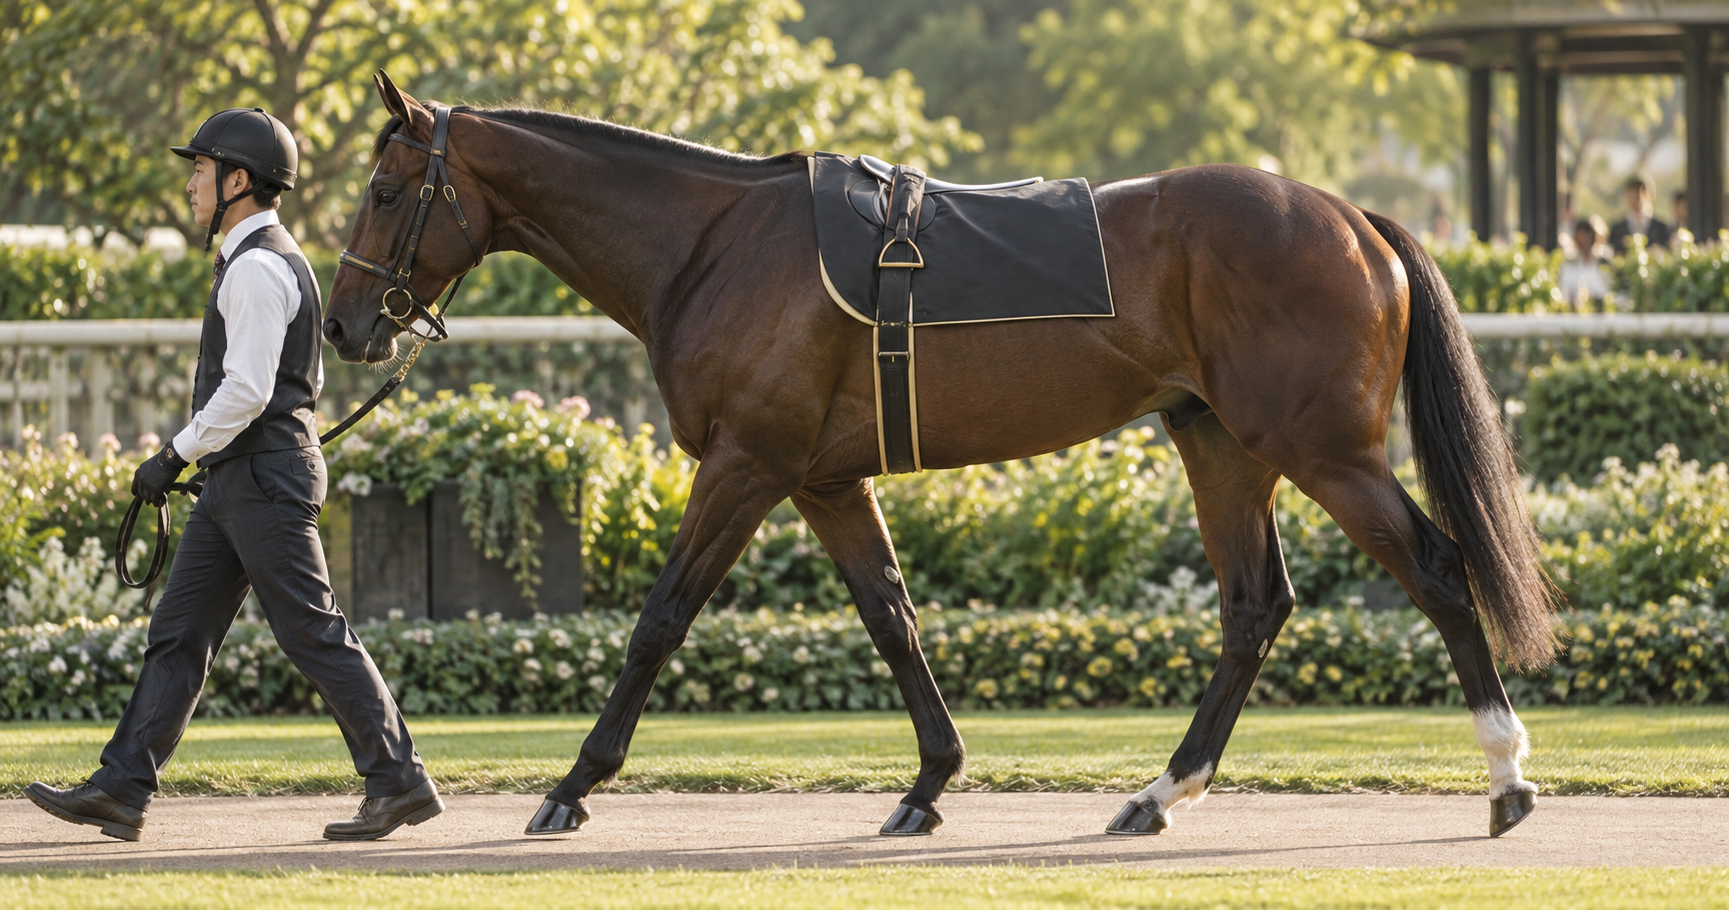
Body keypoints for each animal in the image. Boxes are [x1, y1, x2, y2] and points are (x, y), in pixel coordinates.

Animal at [324, 72, 1557, 839]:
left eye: (384, 189)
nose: (343, 328)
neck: (715, 244)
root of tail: (1348, 218)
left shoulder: (746, 466)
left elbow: (661, 617)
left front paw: (574, 784)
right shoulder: (823, 479)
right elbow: (892, 616)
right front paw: (928, 782)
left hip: (1320, 449)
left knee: (1436, 570)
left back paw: (1505, 776)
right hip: (1220, 444)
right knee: (1254, 607)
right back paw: (1158, 793)